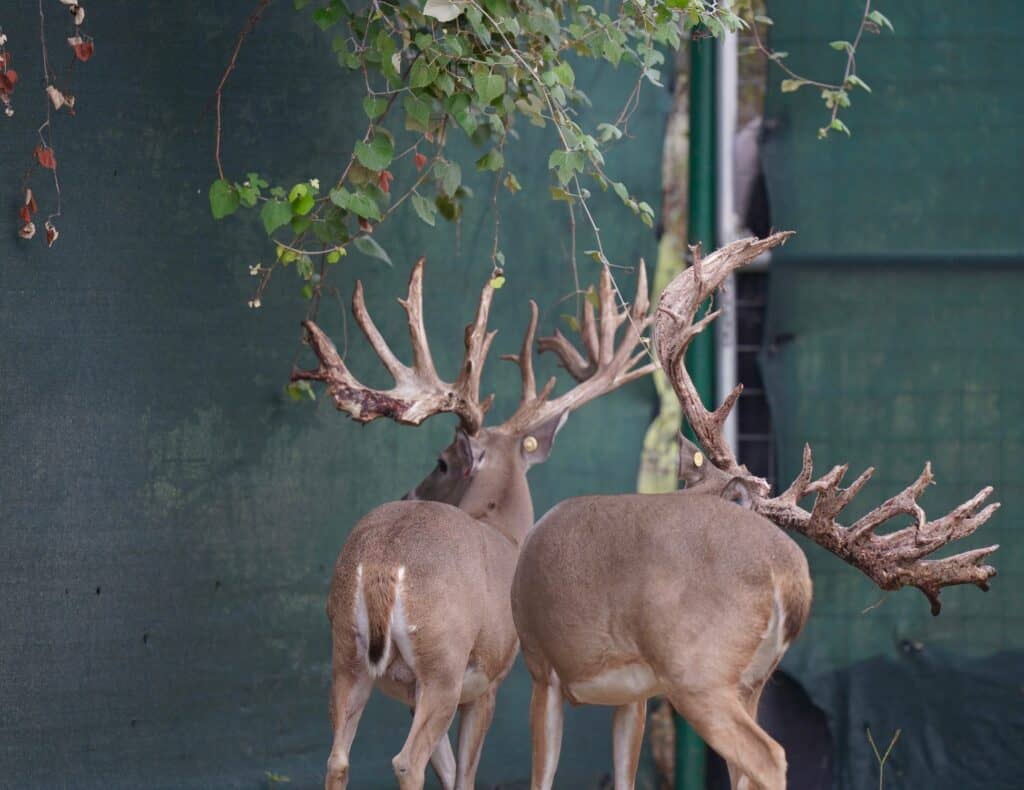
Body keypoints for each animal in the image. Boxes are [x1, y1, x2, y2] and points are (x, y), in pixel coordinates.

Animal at [291, 258, 656, 790]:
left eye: (441, 463)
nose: (411, 492)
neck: (504, 532)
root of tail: (381, 564)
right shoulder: (492, 674)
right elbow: (464, 776)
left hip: (348, 654)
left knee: (337, 758)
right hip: (442, 656)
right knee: (406, 760)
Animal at [510, 232, 1001, 790]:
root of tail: (787, 576)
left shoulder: (541, 665)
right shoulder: (631, 695)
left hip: (696, 669)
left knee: (768, 756)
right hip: (750, 681)